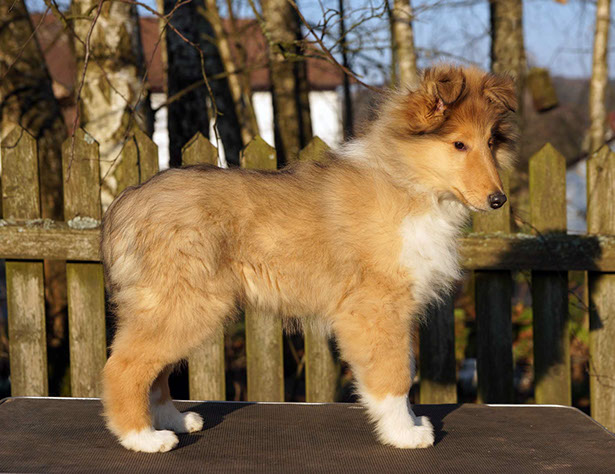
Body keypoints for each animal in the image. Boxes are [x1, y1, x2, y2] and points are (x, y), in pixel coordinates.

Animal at [100, 65, 517, 452]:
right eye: (459, 144)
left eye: (490, 142)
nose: (499, 200)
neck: (409, 184)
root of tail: (130, 200)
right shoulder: (376, 309)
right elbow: (394, 374)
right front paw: (405, 433)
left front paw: (408, 425)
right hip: (186, 303)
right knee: (123, 366)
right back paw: (142, 437)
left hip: (176, 305)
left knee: (154, 373)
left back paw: (173, 420)